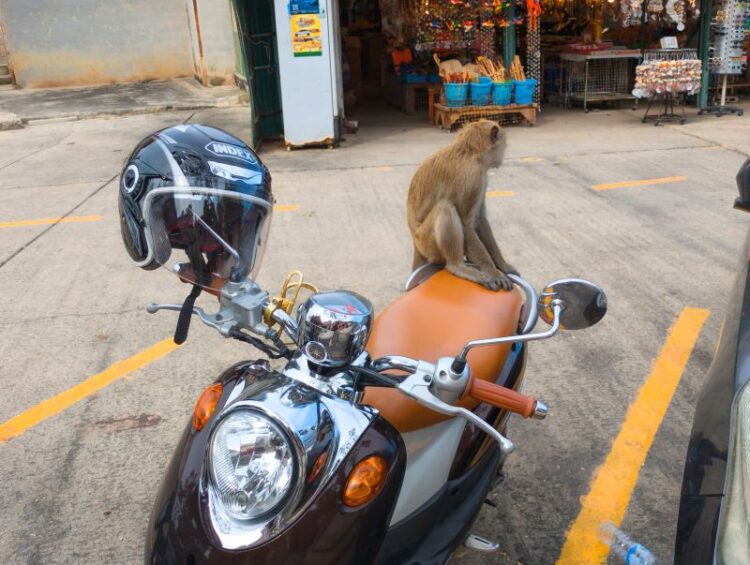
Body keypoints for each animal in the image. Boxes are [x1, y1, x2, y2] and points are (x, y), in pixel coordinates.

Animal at [407, 119, 517, 291]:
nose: (502, 157)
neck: (470, 153)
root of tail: (415, 242)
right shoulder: (473, 178)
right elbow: (466, 225)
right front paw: (493, 271)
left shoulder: (481, 178)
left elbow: (479, 219)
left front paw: (502, 265)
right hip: (426, 242)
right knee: (445, 207)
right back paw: (457, 266)